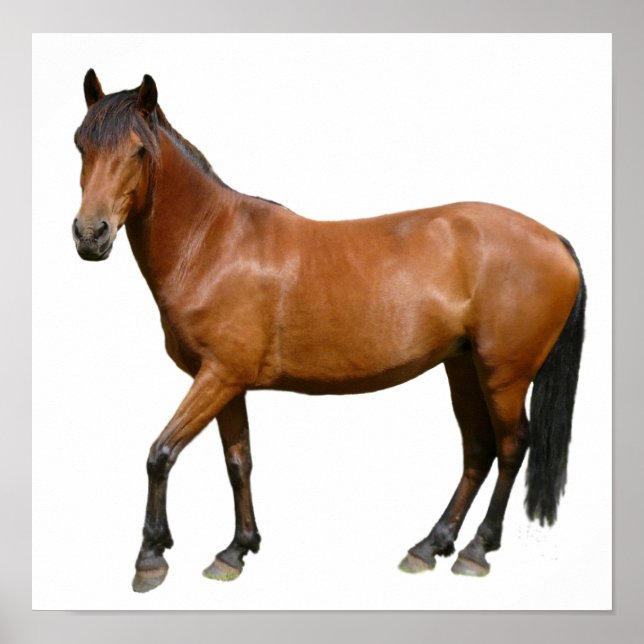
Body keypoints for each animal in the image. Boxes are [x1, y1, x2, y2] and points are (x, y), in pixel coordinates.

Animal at [71, 70, 586, 593]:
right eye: (80, 145)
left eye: (138, 150)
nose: (90, 235)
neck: (213, 245)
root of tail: (555, 241)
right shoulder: (226, 382)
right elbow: (239, 462)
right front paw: (237, 550)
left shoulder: (218, 378)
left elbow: (161, 453)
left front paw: (151, 556)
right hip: (462, 366)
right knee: (478, 449)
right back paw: (429, 546)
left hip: (504, 375)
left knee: (511, 447)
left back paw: (476, 551)